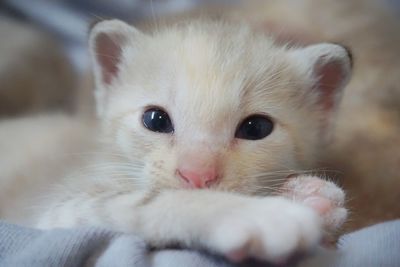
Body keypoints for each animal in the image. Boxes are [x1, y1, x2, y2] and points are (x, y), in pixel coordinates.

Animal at [0, 19, 350, 264]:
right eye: (155, 120)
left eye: (256, 128)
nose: (197, 175)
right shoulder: (56, 216)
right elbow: (151, 201)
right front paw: (259, 215)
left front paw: (307, 197)